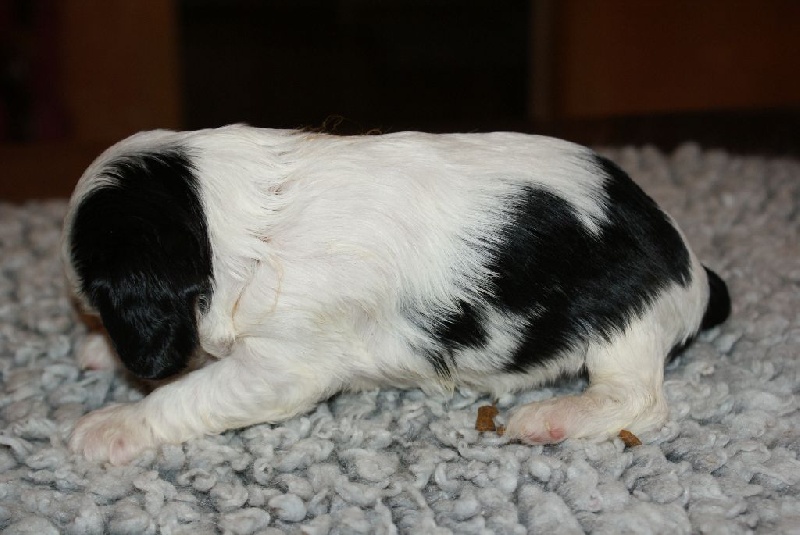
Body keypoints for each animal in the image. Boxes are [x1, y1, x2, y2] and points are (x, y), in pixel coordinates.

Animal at [62, 125, 730, 464]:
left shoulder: (283, 365)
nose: (103, 340)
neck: (215, 213)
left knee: (637, 398)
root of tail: (692, 268)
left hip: (624, 325)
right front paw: (99, 353)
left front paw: (110, 425)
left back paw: (550, 418)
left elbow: (187, 395)